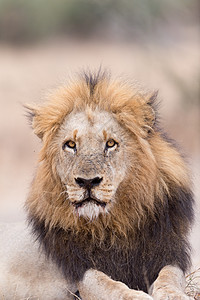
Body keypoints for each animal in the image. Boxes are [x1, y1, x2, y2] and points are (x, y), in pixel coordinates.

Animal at [0, 71, 194, 300]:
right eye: (71, 145)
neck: (116, 224)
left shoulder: (167, 254)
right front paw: (135, 296)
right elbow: (107, 284)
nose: (87, 182)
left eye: (110, 144)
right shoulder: (79, 270)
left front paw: (174, 295)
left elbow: (169, 278)